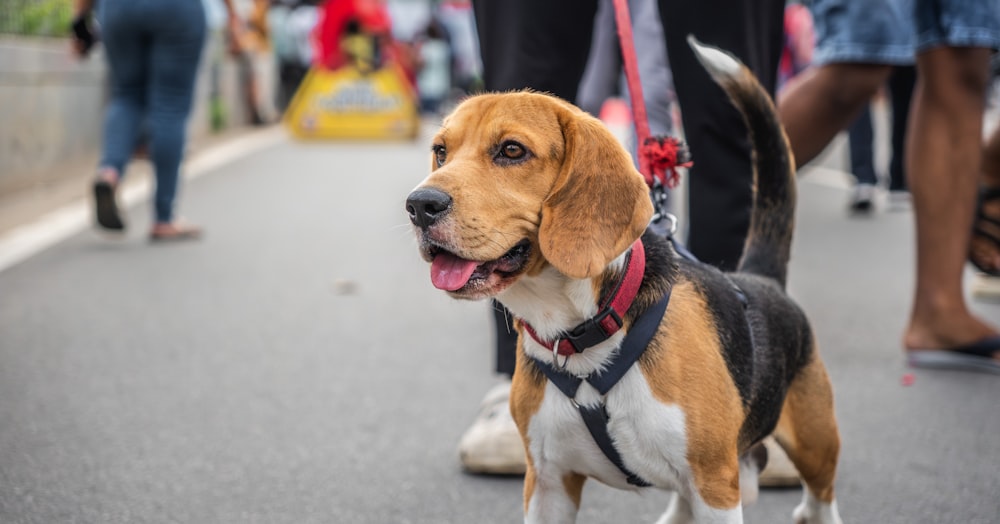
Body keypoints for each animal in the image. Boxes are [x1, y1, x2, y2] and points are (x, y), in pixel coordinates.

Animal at [406, 39, 844, 520]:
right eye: (441, 151)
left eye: (512, 150)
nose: (420, 205)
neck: (579, 335)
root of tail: (758, 277)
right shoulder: (548, 482)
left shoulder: (714, 484)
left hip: (815, 443)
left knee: (821, 497)